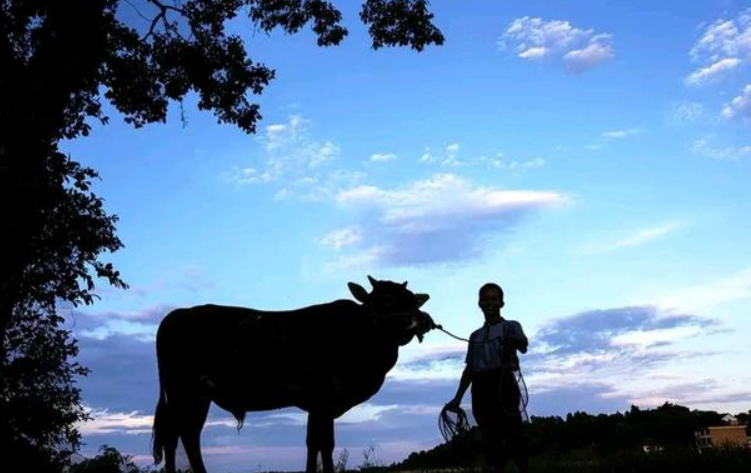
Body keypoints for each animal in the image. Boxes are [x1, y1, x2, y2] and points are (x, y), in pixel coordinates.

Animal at [151, 274, 434, 470]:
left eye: (412, 299)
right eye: (385, 299)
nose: (417, 320)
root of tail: (175, 316)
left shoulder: (321, 405)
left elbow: (317, 443)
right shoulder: (322, 398)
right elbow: (323, 443)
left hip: (199, 396)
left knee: (188, 434)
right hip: (182, 391)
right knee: (174, 435)